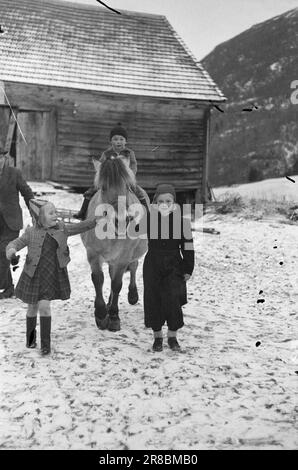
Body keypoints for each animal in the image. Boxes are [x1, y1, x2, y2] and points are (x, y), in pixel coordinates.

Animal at [81, 158, 149, 330]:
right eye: (103, 187)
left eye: (127, 186)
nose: (122, 221)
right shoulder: (93, 254)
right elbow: (98, 279)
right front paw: (100, 314)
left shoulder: (123, 257)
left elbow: (117, 284)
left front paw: (113, 317)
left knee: (133, 268)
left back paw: (132, 295)